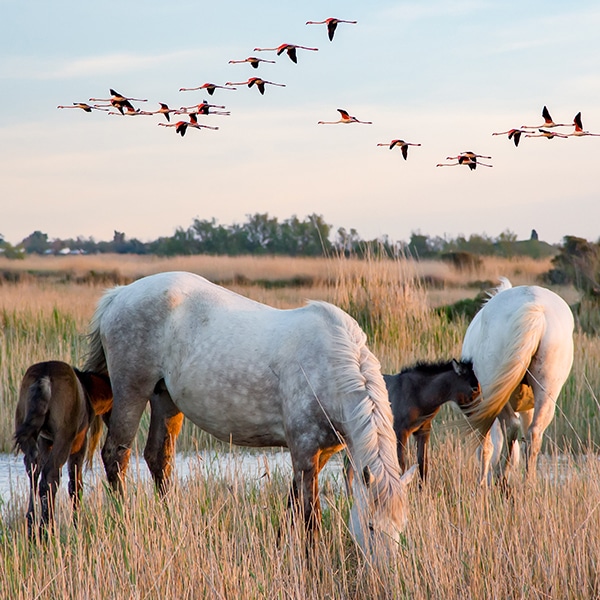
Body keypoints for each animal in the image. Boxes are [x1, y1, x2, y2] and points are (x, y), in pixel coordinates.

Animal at [13, 360, 112, 536]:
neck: (88, 392)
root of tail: (44, 377)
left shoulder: (45, 441)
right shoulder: (79, 443)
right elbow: (75, 484)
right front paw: (77, 525)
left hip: (27, 432)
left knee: (34, 471)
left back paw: (32, 527)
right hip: (64, 436)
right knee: (50, 476)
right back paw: (47, 529)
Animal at [84, 270, 414, 552]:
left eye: (400, 530)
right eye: (371, 527)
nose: (383, 577)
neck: (331, 365)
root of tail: (119, 294)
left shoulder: (321, 453)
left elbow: (293, 502)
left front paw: (280, 547)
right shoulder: (305, 451)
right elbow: (310, 515)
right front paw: (313, 561)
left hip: (165, 399)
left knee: (158, 458)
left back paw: (170, 520)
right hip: (131, 392)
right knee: (116, 456)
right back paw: (123, 520)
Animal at [462, 278, 576, 486]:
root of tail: (536, 308)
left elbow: (485, 447)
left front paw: (481, 482)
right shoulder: (527, 407)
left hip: (495, 393)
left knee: (510, 427)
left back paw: (500, 475)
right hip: (547, 392)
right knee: (533, 434)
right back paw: (528, 483)